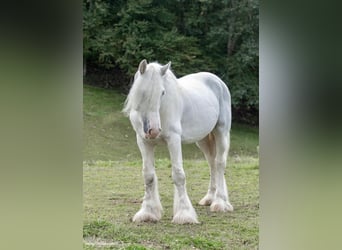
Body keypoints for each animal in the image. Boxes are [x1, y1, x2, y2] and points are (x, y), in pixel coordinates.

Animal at [122, 59, 232, 225]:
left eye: (162, 92)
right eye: (142, 91)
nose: (153, 130)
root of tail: (218, 81)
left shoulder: (173, 140)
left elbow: (178, 175)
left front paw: (184, 214)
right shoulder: (143, 142)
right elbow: (148, 176)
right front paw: (148, 213)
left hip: (221, 132)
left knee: (219, 164)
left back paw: (220, 203)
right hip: (203, 140)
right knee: (212, 164)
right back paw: (209, 199)